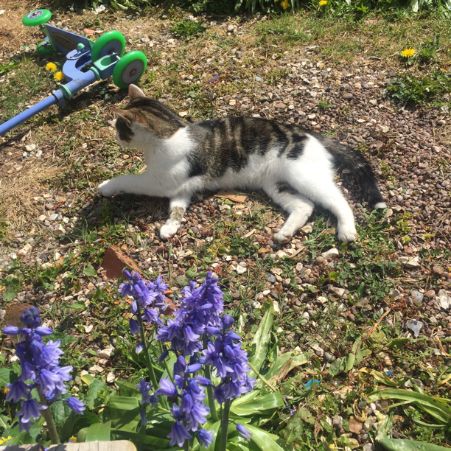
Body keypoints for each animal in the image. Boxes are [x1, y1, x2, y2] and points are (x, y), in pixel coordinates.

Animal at [99, 84, 386, 243]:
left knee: (339, 200)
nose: (114, 135)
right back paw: (285, 233)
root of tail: (311, 134)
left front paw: (107, 186)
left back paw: (346, 229)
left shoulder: (160, 182)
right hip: (276, 184)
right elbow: (178, 208)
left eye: (120, 128)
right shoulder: (181, 187)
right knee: (305, 206)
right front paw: (171, 226)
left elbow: (131, 179)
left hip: (305, 176)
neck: (170, 133)